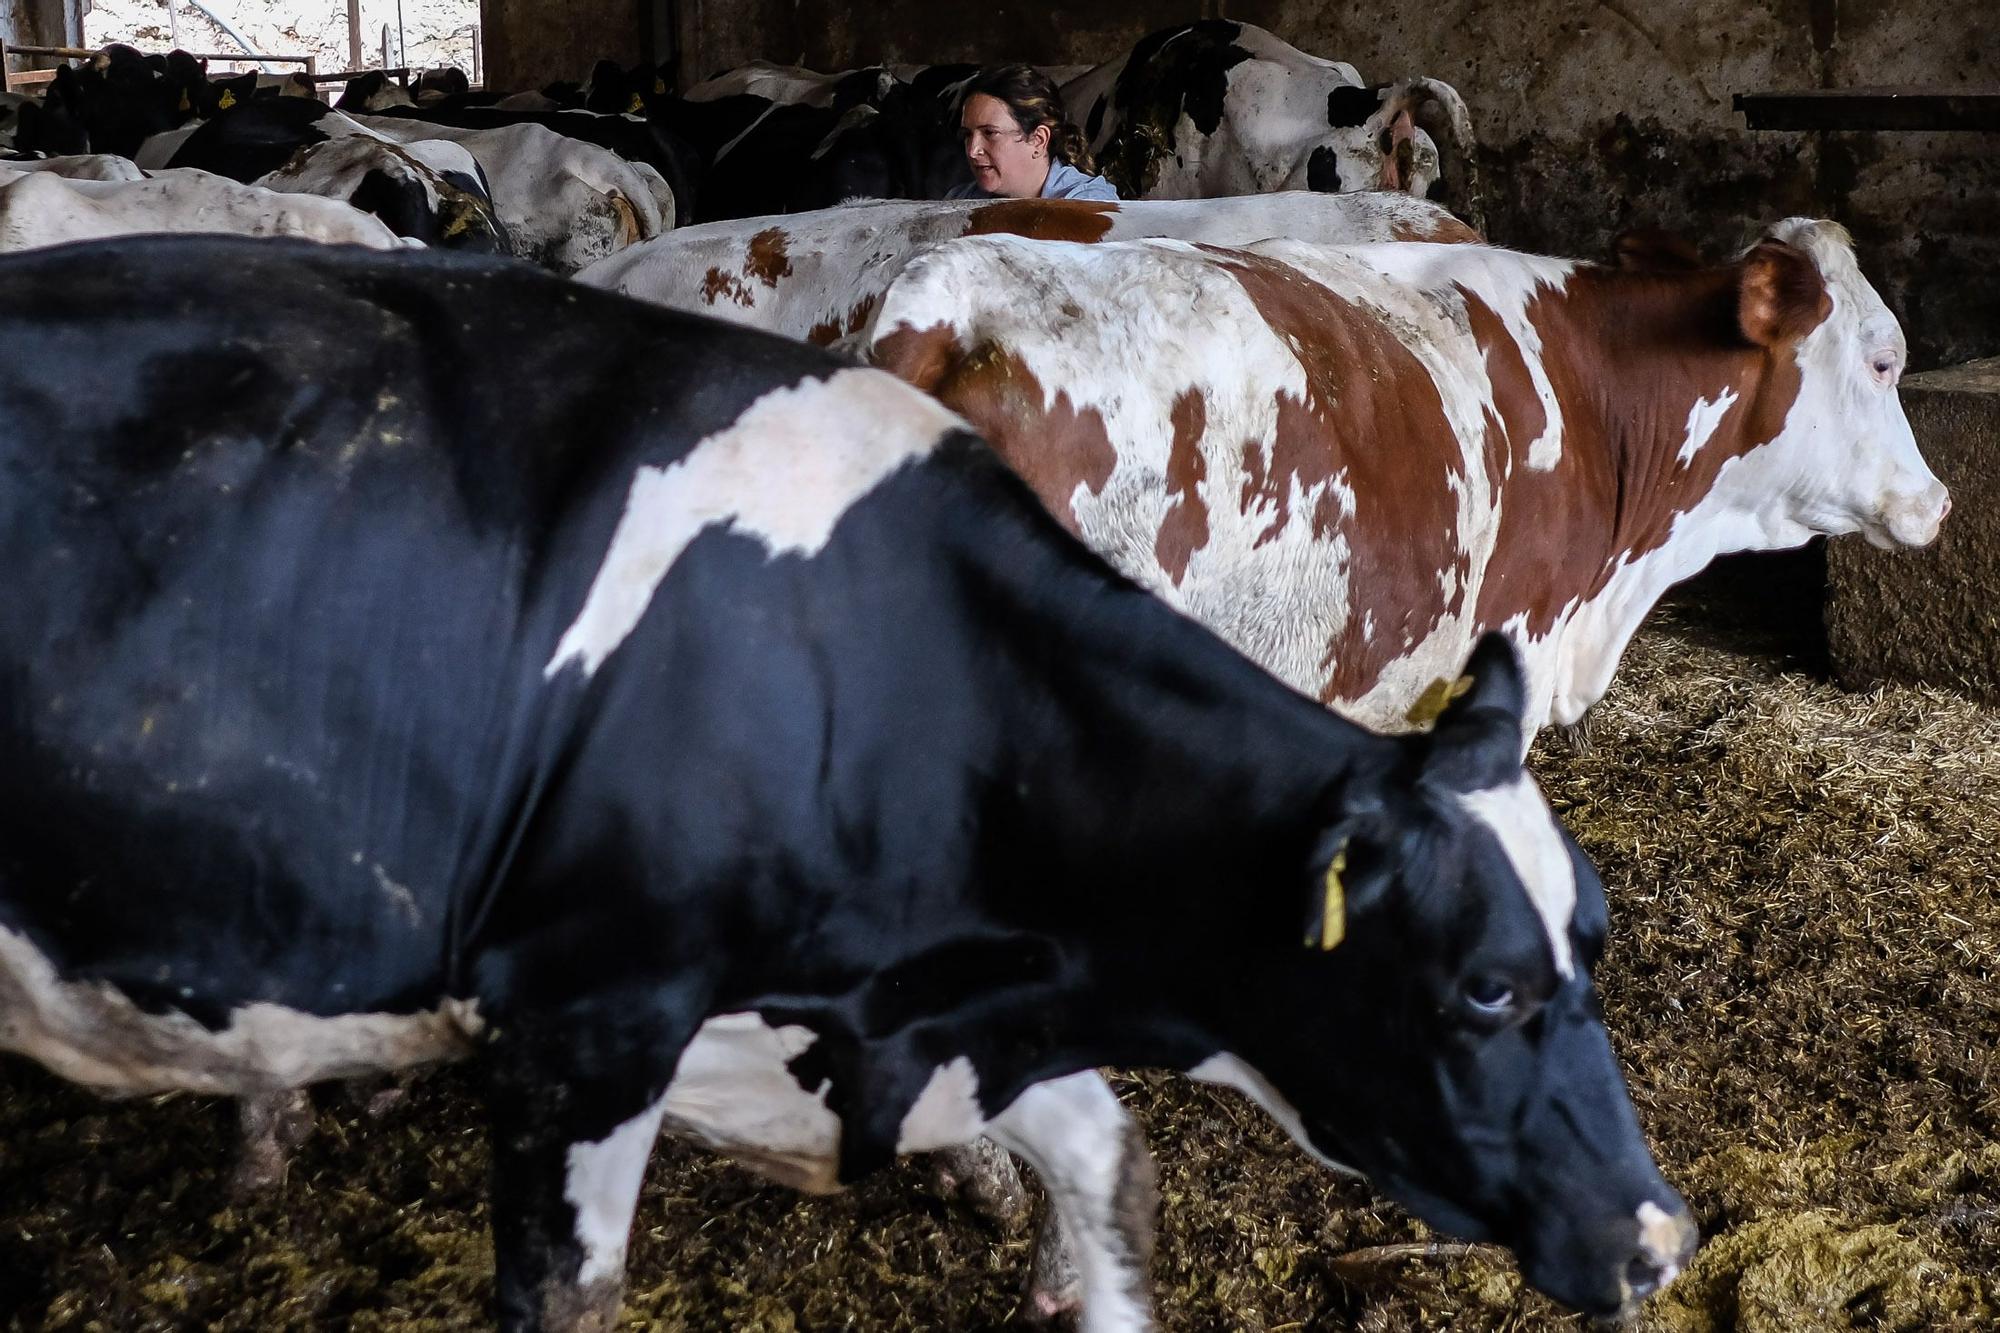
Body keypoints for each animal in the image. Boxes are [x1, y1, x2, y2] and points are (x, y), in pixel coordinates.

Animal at [0, 236, 1688, 1328]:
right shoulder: (586, 1023)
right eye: (1483, 990)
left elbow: (1110, 1168)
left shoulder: (879, 1020)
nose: (1662, 1237)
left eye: (1595, 945)